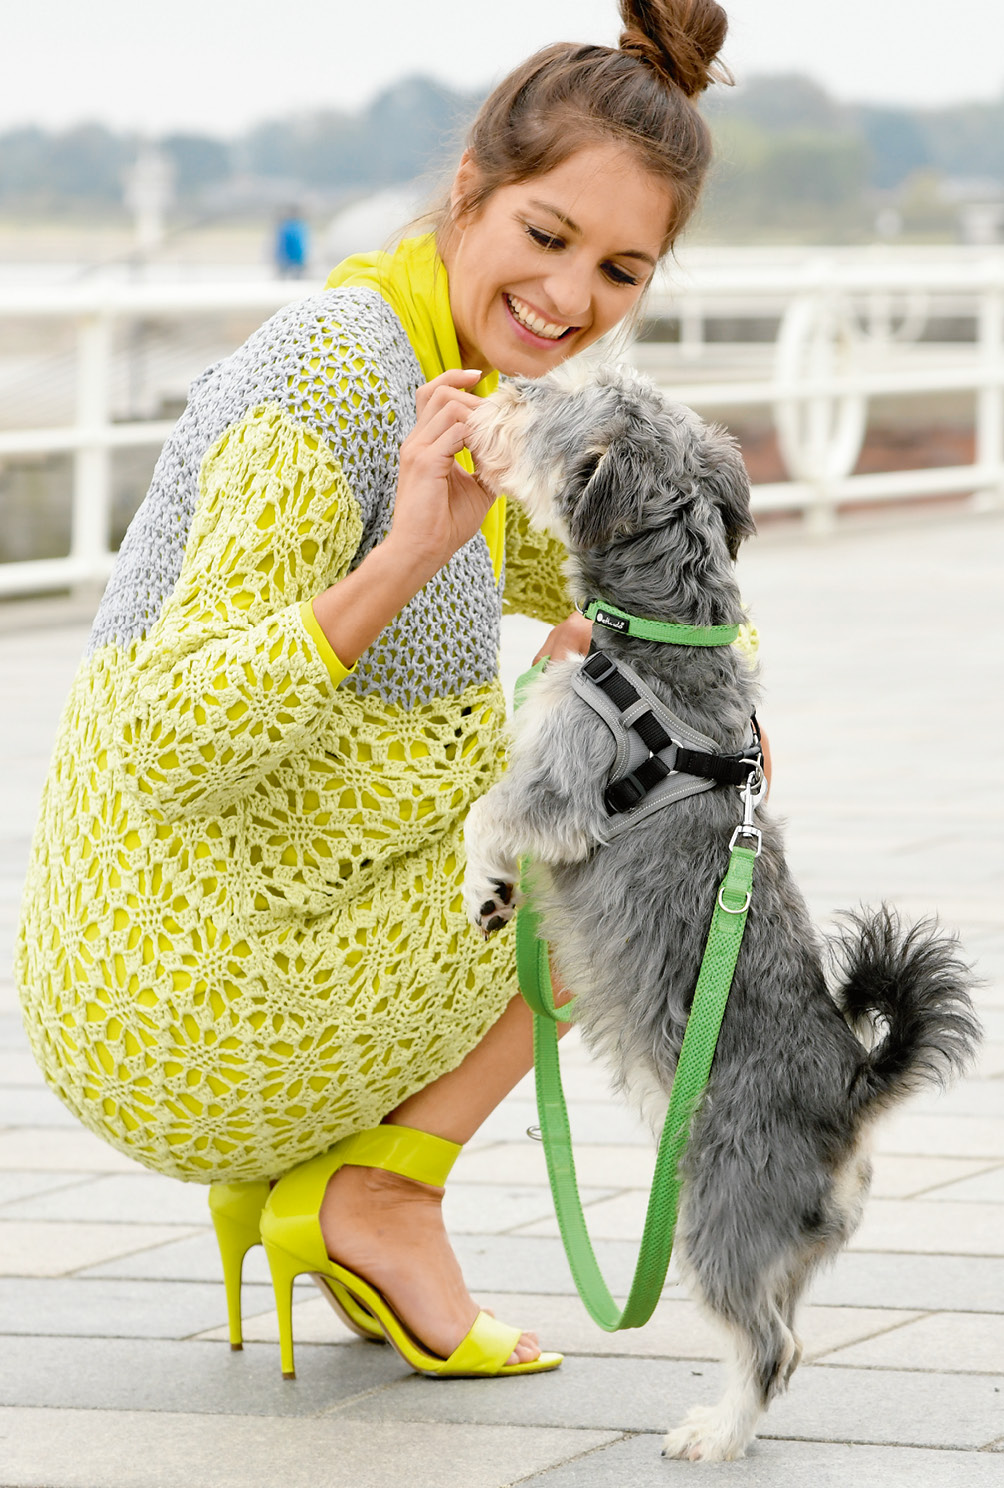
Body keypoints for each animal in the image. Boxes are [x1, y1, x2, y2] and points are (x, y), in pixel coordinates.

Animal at [464, 363, 981, 1464]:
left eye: (552, 399)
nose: (511, 378)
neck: (661, 633)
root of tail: (851, 1094)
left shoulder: (559, 785)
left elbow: (488, 814)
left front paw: (482, 886)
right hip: (785, 1238)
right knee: (788, 1335)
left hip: (716, 1213)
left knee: (766, 1343)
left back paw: (715, 1433)